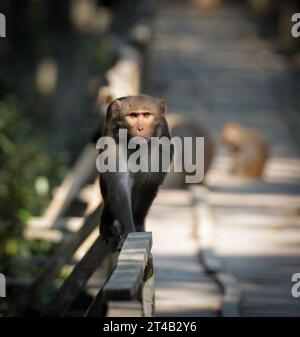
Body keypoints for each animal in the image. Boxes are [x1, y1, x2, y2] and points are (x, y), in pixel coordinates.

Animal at [97, 94, 172, 249]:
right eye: (133, 115)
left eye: (147, 115)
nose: (140, 128)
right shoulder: (113, 138)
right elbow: (119, 183)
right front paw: (128, 229)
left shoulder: (162, 140)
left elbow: (150, 182)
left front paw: (137, 223)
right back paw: (107, 216)